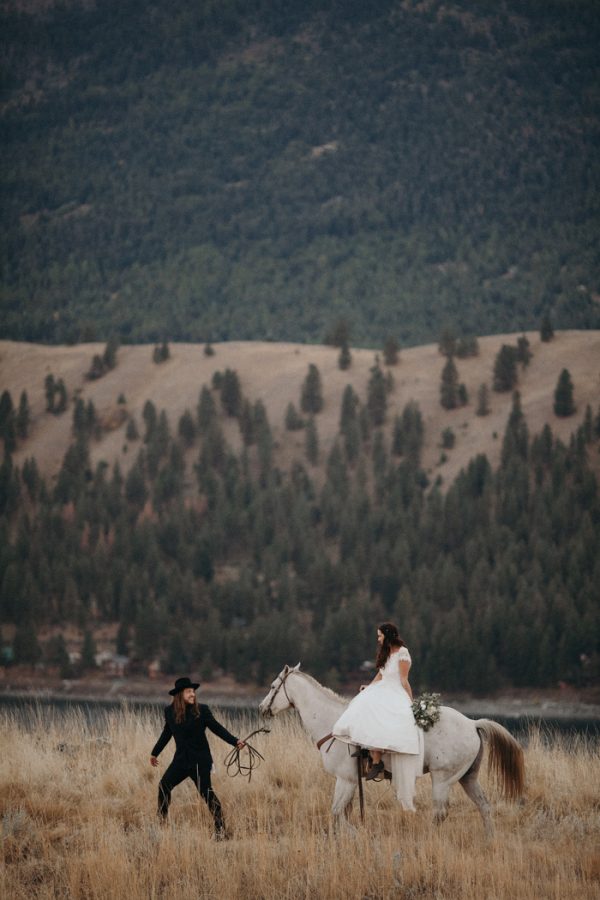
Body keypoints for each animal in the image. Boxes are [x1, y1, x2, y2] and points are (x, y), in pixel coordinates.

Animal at [258, 660, 524, 836]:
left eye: (272, 686)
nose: (262, 708)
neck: (335, 723)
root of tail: (472, 723)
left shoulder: (346, 780)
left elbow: (336, 812)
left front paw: (353, 835)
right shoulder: (351, 781)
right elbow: (342, 813)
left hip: (442, 779)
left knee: (440, 813)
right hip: (468, 777)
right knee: (484, 806)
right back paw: (489, 839)